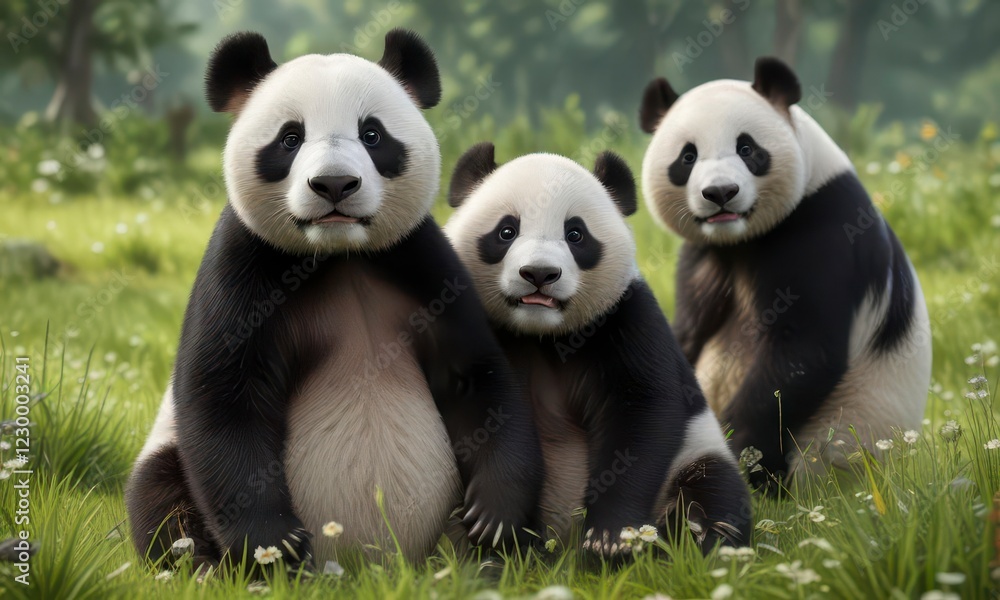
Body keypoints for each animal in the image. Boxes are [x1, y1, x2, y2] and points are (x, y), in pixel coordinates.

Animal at [125, 30, 545, 570]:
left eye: (372, 135)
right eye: (290, 138)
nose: (334, 184)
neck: (339, 254)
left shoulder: (424, 265)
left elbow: (476, 376)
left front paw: (493, 519)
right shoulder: (244, 266)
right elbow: (225, 396)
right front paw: (273, 545)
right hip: (166, 454)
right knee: (159, 495)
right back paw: (205, 569)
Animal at [444, 144, 751, 556]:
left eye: (576, 234)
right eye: (506, 231)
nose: (539, 274)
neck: (541, 335)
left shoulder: (624, 319)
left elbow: (641, 415)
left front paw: (610, 538)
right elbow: (480, 409)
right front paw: (495, 520)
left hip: (697, 450)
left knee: (715, 487)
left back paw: (699, 535)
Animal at [638, 57, 932, 492]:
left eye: (747, 149)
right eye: (687, 157)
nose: (720, 193)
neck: (739, 240)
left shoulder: (823, 230)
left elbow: (803, 354)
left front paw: (736, 453)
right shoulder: (703, 255)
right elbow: (686, 334)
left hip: (837, 443)